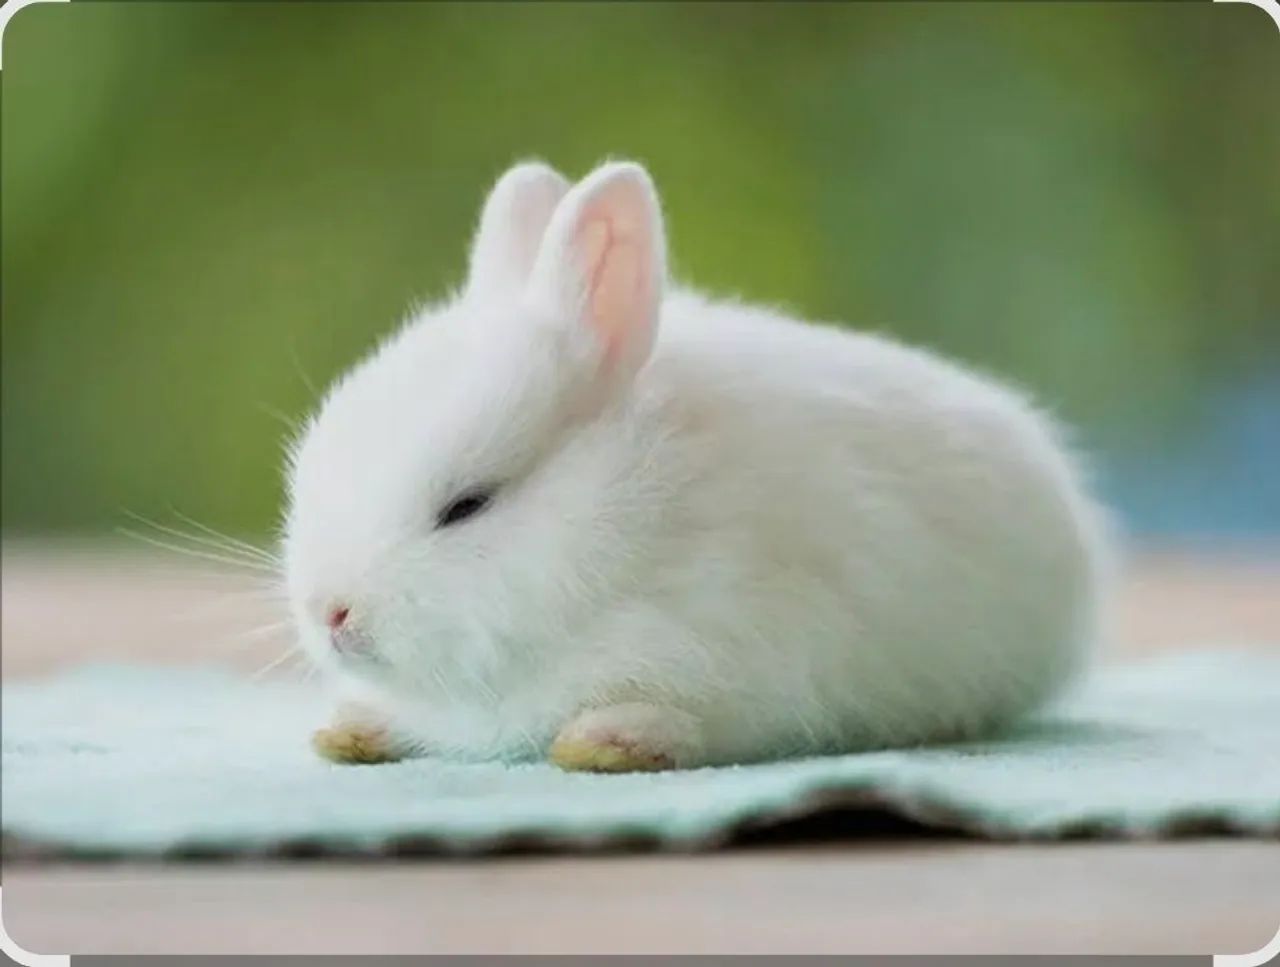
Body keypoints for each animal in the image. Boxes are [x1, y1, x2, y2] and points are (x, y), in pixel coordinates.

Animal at [285, 159, 1113, 772]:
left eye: (468, 504)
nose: (331, 612)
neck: (631, 518)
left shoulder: (754, 665)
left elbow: (692, 721)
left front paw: (609, 740)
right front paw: (353, 727)